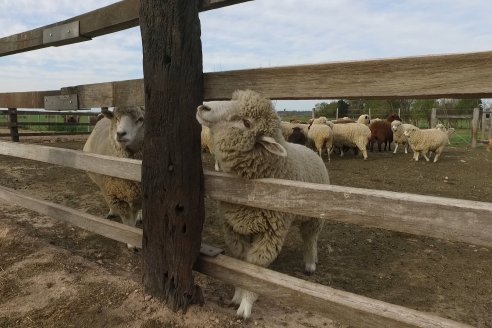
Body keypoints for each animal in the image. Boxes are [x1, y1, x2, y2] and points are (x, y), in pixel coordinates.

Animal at [82, 107, 144, 249]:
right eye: (117, 118)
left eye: (140, 119)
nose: (120, 134)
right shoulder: (113, 192)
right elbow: (127, 219)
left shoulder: (137, 194)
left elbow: (133, 216)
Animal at [196, 88, 330, 320]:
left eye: (246, 122)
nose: (203, 107)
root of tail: (309, 149)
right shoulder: (234, 228)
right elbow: (241, 262)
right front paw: (237, 295)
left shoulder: (270, 234)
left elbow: (255, 268)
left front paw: (246, 305)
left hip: (314, 216)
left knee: (310, 238)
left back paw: (310, 263)